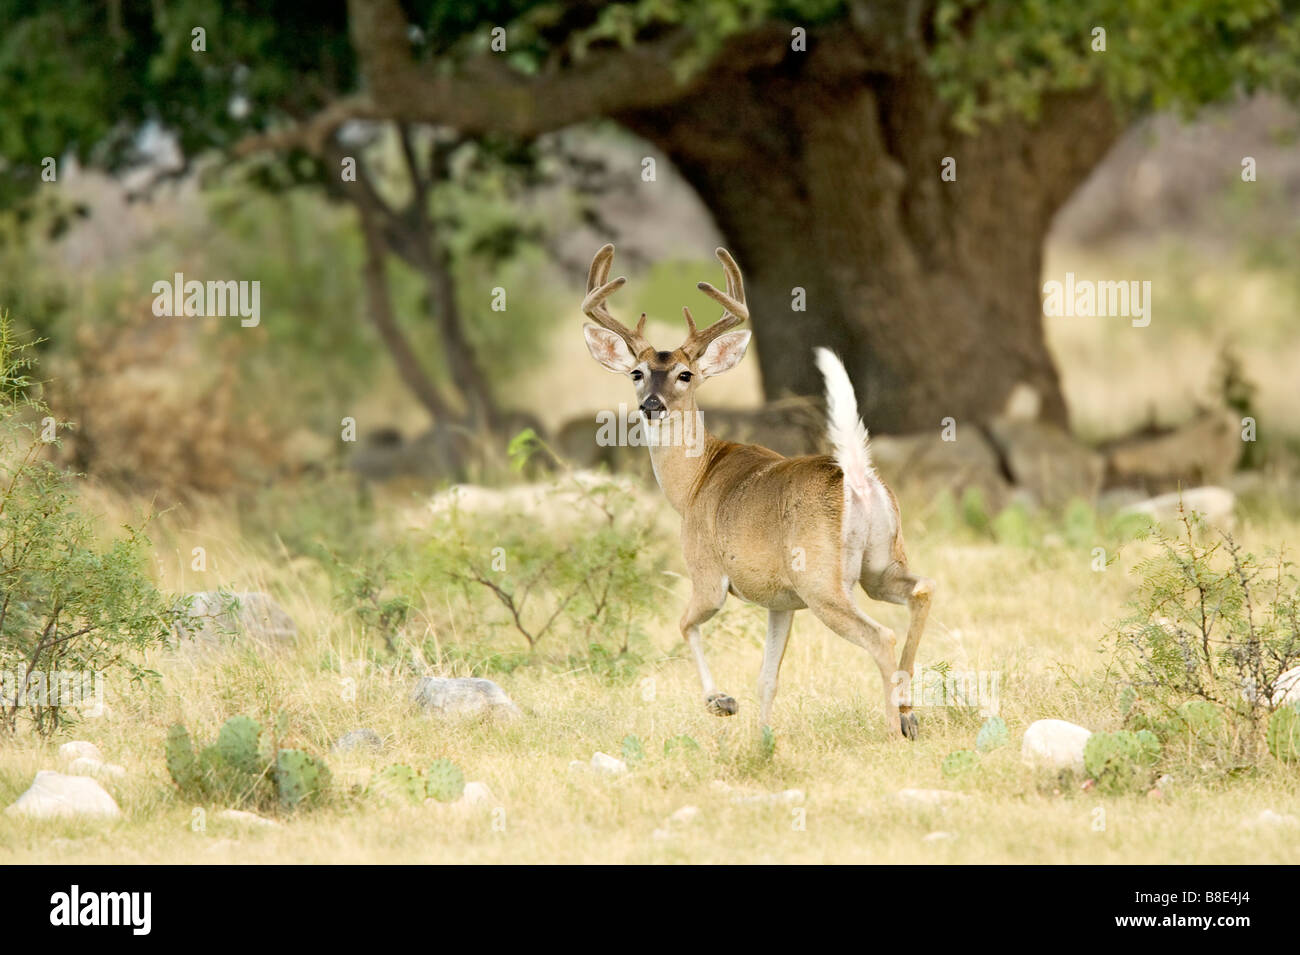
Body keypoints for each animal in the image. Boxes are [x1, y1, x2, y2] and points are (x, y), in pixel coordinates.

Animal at [582, 244, 935, 738]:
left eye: (685, 374)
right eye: (636, 372)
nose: (652, 405)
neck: (694, 483)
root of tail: (856, 476)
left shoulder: (707, 573)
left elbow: (685, 625)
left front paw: (721, 702)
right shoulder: (780, 601)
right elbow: (768, 678)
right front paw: (763, 737)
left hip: (822, 582)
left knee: (880, 635)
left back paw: (891, 729)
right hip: (880, 566)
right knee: (922, 591)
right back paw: (908, 712)